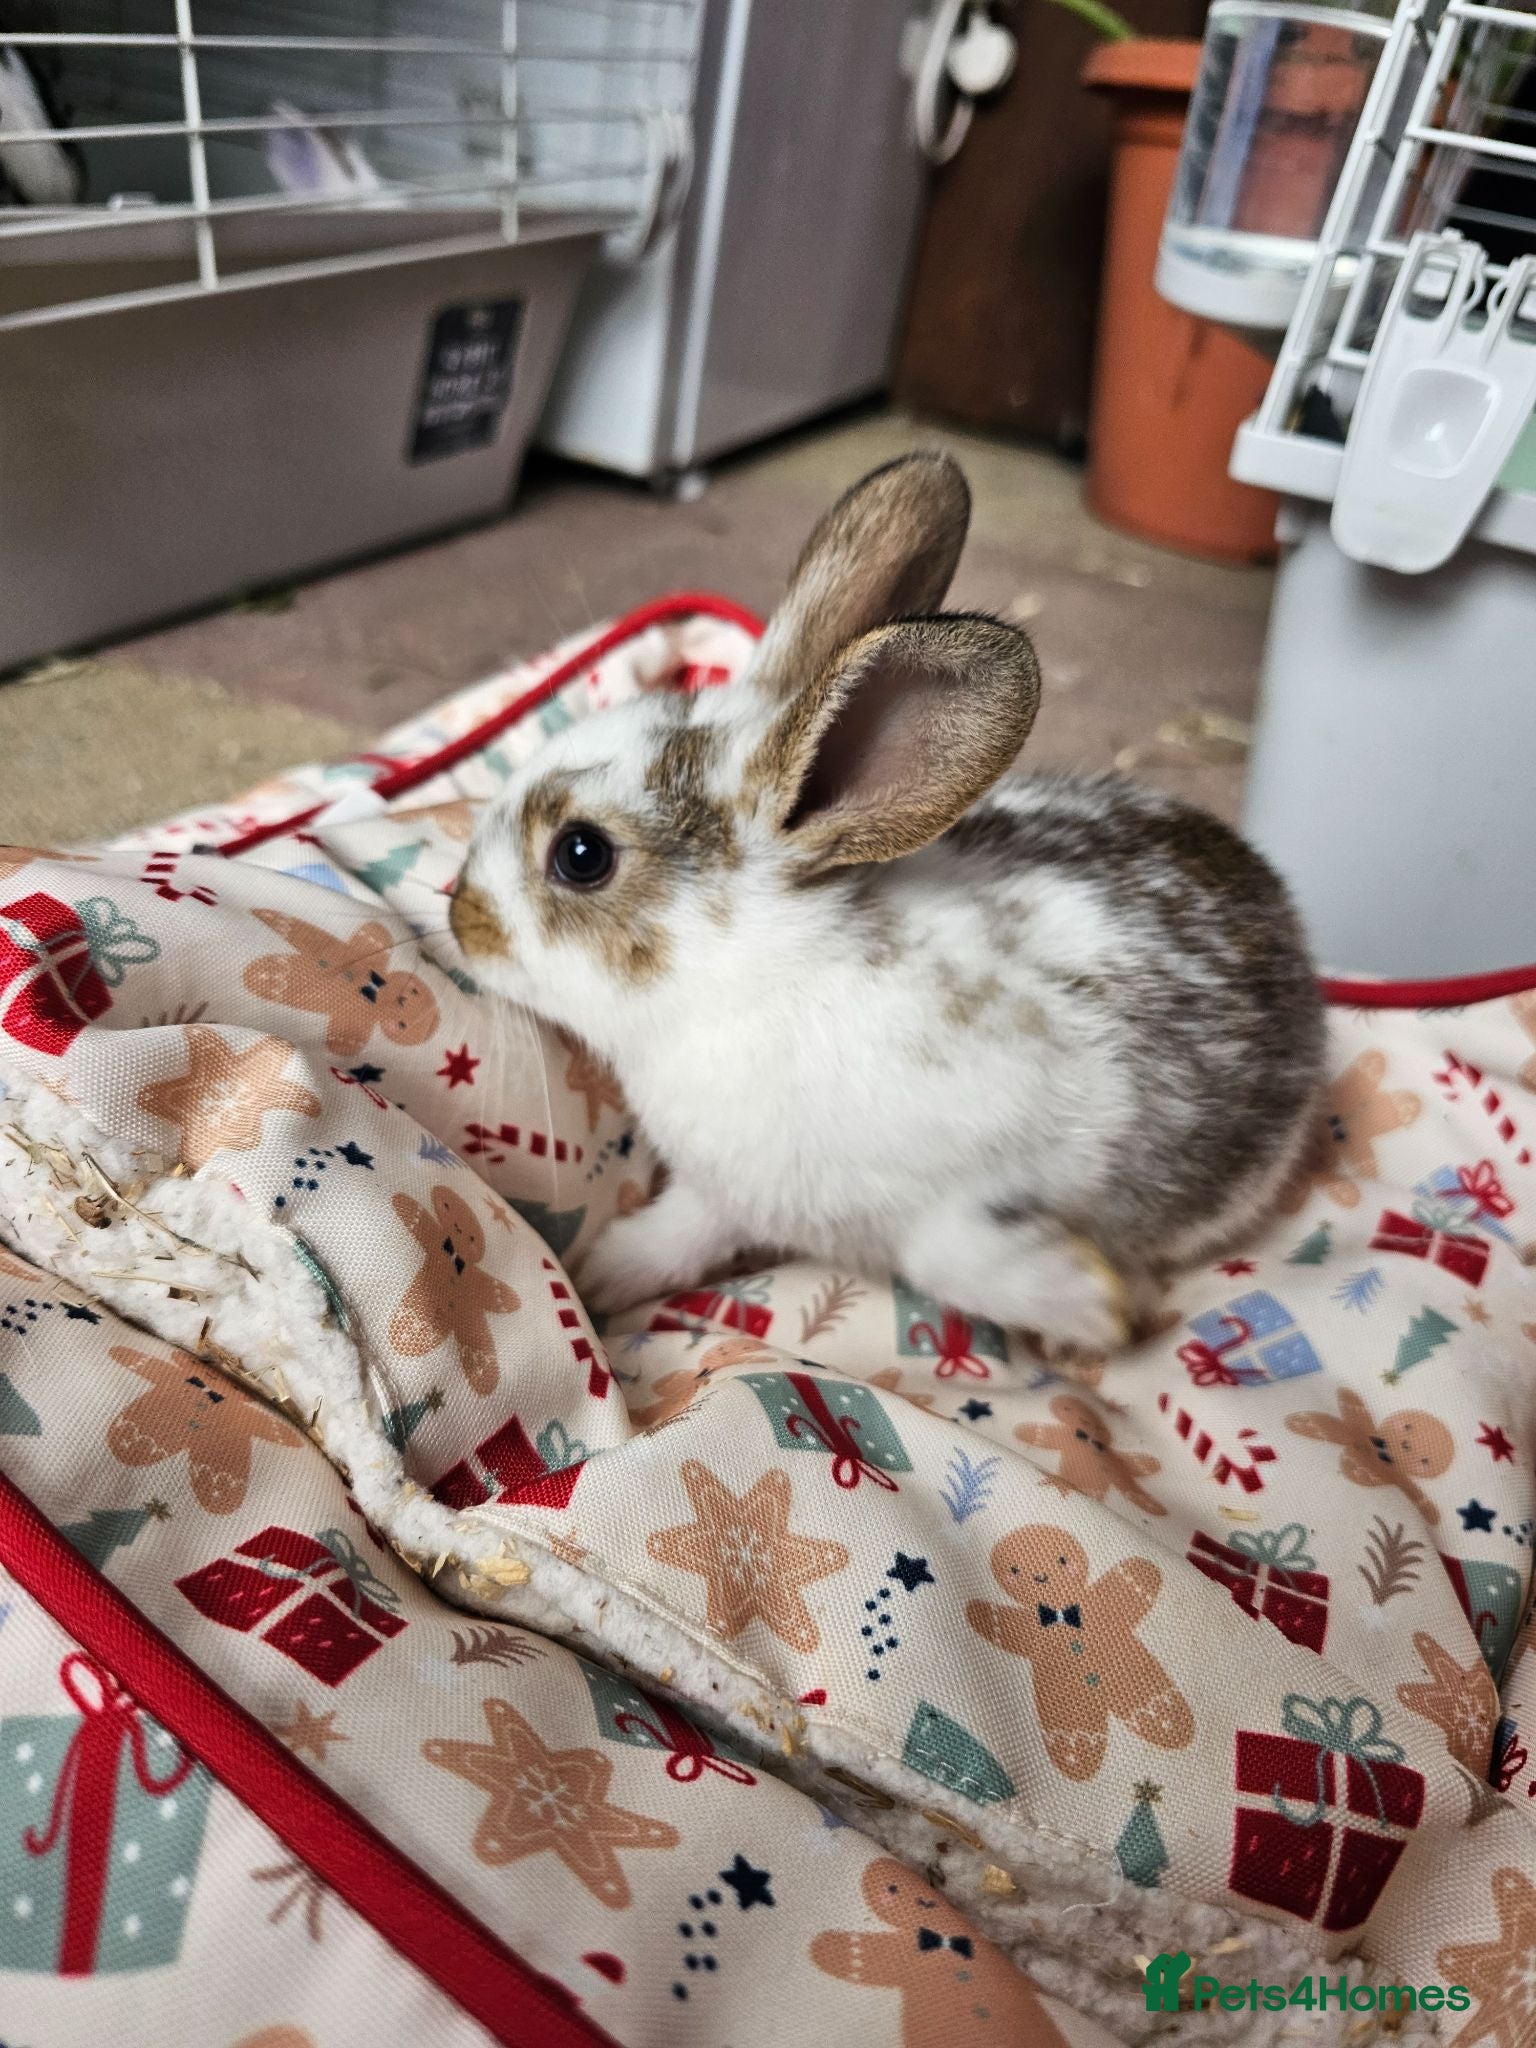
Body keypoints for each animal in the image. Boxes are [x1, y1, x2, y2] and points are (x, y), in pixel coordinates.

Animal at [450, 452, 1324, 1354]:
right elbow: (675, 1234)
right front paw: (595, 1277)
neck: (745, 982)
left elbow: (949, 1258)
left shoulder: (967, 1185)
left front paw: (1098, 1309)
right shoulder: (720, 1195)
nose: (460, 915)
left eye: (581, 855)